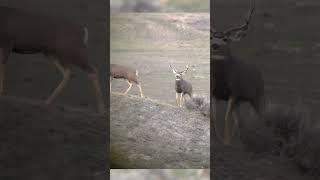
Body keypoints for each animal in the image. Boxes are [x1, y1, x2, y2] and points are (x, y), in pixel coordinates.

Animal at [211, 0, 264, 144]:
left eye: (225, 39)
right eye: (210, 37)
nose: (215, 45)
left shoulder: (234, 92)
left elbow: (226, 118)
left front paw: (225, 141)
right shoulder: (215, 94)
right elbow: (214, 117)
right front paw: (217, 139)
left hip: (257, 97)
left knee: (260, 116)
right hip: (240, 101)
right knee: (239, 120)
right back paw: (241, 138)